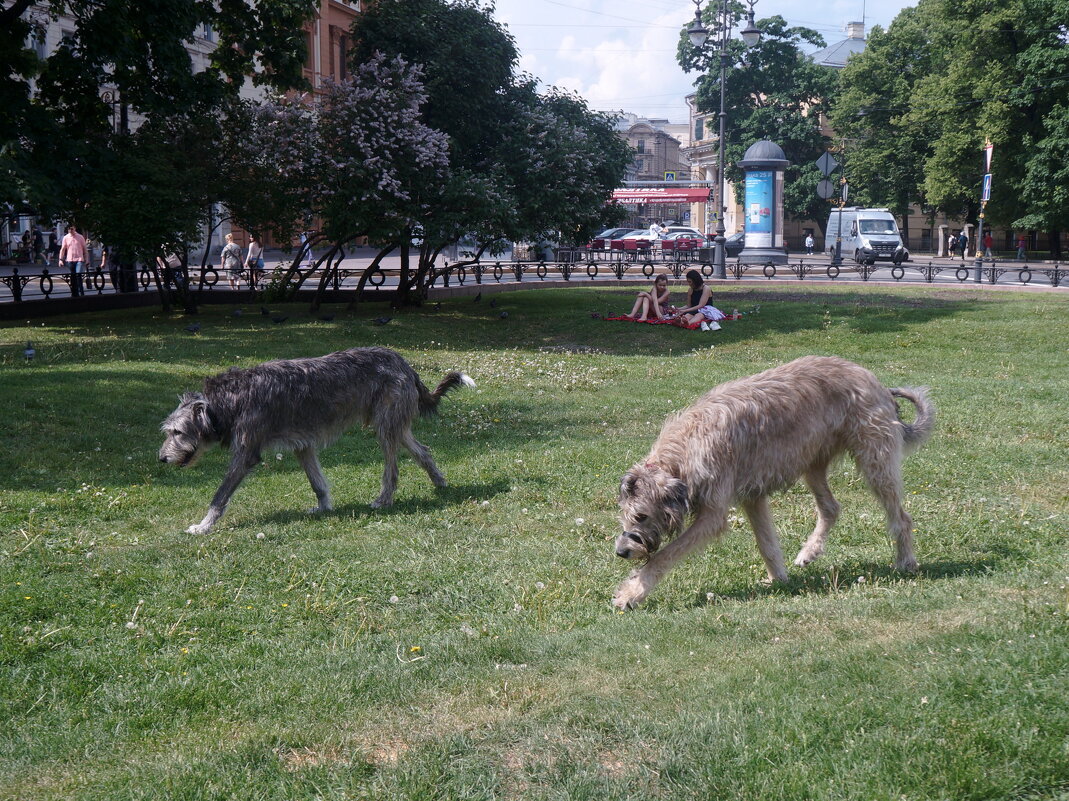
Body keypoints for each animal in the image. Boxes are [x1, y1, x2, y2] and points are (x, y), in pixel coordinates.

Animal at [157, 346, 472, 534]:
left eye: (177, 432)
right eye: (169, 431)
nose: (161, 458)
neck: (228, 400)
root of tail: (403, 362)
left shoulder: (246, 453)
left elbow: (220, 495)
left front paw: (203, 526)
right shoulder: (303, 446)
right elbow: (317, 482)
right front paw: (323, 508)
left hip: (386, 429)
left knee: (392, 470)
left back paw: (384, 499)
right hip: (396, 426)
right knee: (423, 450)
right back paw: (439, 482)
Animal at [615, 352, 932, 607]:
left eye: (641, 516)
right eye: (625, 516)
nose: (621, 552)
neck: (685, 450)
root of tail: (877, 382)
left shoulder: (712, 514)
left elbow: (665, 555)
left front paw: (632, 593)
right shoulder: (752, 497)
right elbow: (766, 543)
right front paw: (778, 579)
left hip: (875, 462)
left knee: (901, 517)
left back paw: (906, 561)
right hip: (811, 463)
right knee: (831, 508)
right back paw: (809, 552)